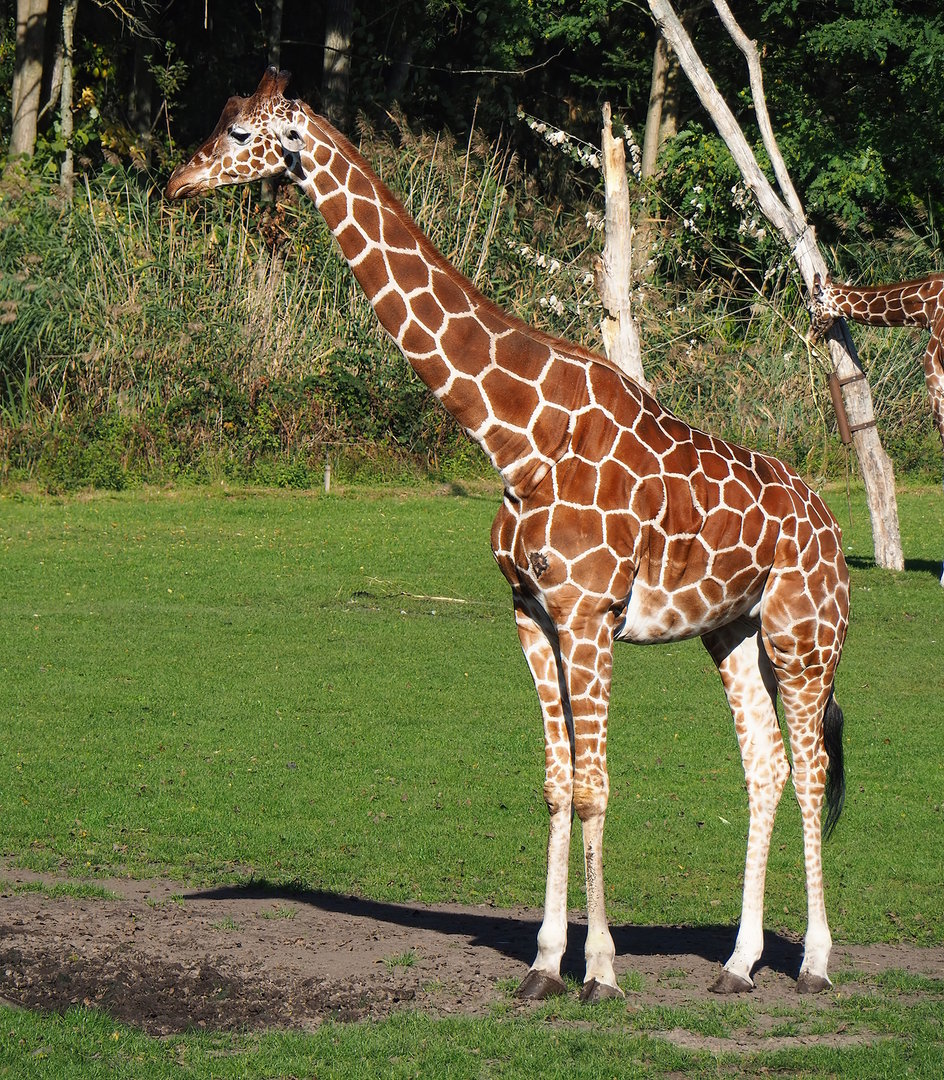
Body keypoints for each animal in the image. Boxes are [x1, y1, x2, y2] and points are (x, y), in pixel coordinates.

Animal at [167, 68, 850, 1000]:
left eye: (240, 134)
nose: (176, 182)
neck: (515, 435)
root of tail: (832, 527)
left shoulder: (590, 613)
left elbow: (595, 786)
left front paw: (600, 972)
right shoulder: (530, 612)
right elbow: (558, 785)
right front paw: (542, 965)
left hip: (803, 634)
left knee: (811, 769)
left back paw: (813, 963)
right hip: (732, 630)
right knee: (768, 766)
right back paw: (740, 964)